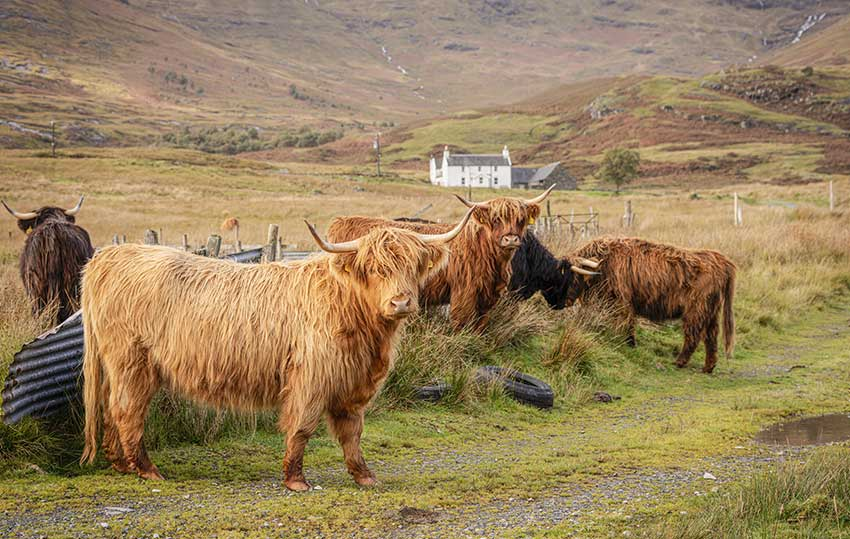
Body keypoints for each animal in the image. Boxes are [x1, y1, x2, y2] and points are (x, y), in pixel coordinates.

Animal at [81, 208, 470, 494]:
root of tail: (112, 255)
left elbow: (352, 432)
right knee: (127, 411)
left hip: (118, 365)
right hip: (133, 362)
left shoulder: (353, 382)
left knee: (111, 409)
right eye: (375, 268)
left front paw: (364, 475)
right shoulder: (311, 377)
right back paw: (147, 470)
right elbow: (302, 427)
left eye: (413, 266)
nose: (401, 302)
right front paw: (295, 480)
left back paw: (121, 464)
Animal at [322, 187, 552, 334]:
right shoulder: (464, 293)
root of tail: (341, 221)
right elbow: (462, 324)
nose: (511, 239)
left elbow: (480, 326)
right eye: (496, 219)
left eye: (521, 219)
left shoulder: (488, 296)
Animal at [564, 238, 736, 374]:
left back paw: (679, 362)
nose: (564, 301)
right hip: (711, 310)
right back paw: (708, 367)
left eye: (571, 277)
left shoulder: (622, 303)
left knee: (693, 336)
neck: (602, 267)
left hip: (696, 310)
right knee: (711, 336)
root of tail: (720, 260)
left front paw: (627, 344)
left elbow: (625, 325)